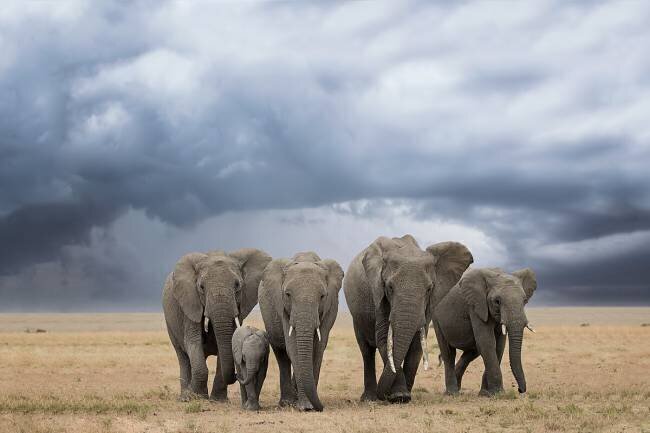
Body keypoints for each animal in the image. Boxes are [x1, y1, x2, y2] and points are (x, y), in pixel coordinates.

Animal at [162, 248, 272, 401]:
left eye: (237, 285)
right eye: (201, 287)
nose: (237, 375)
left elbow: (228, 342)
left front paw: (218, 401)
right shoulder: (189, 304)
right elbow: (193, 342)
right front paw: (197, 397)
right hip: (171, 324)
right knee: (183, 357)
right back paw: (185, 397)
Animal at [259, 252, 344, 411]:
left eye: (322, 296)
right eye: (288, 295)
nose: (321, 407)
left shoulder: (330, 307)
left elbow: (318, 348)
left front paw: (308, 406)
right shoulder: (283, 307)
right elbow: (293, 347)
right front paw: (305, 407)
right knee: (281, 353)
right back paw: (286, 402)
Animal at [344, 235, 473, 403]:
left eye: (429, 289)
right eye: (389, 287)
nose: (383, 396)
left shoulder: (428, 306)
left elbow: (417, 343)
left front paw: (404, 395)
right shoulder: (378, 296)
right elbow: (384, 339)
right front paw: (399, 396)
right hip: (357, 316)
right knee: (366, 351)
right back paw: (369, 399)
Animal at [432, 267, 537, 396]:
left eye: (525, 300)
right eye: (497, 301)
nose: (520, 390)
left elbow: (499, 346)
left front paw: (486, 394)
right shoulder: (476, 306)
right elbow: (487, 342)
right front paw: (498, 393)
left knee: (472, 351)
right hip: (436, 318)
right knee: (448, 353)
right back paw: (452, 393)